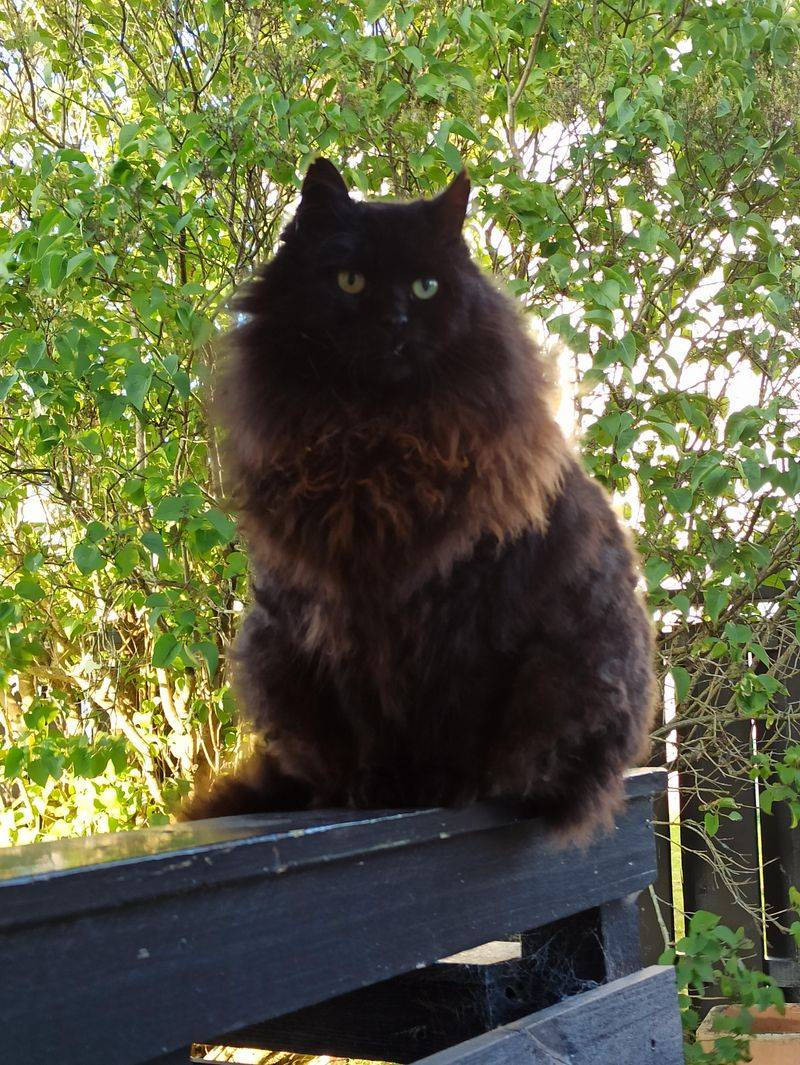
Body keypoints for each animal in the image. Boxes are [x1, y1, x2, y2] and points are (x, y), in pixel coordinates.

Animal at [183, 159, 656, 839]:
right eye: (350, 281)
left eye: (427, 287)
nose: (395, 322)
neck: (379, 440)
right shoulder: (346, 619)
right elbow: (372, 722)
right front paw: (377, 788)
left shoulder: (475, 616)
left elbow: (456, 718)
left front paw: (442, 785)